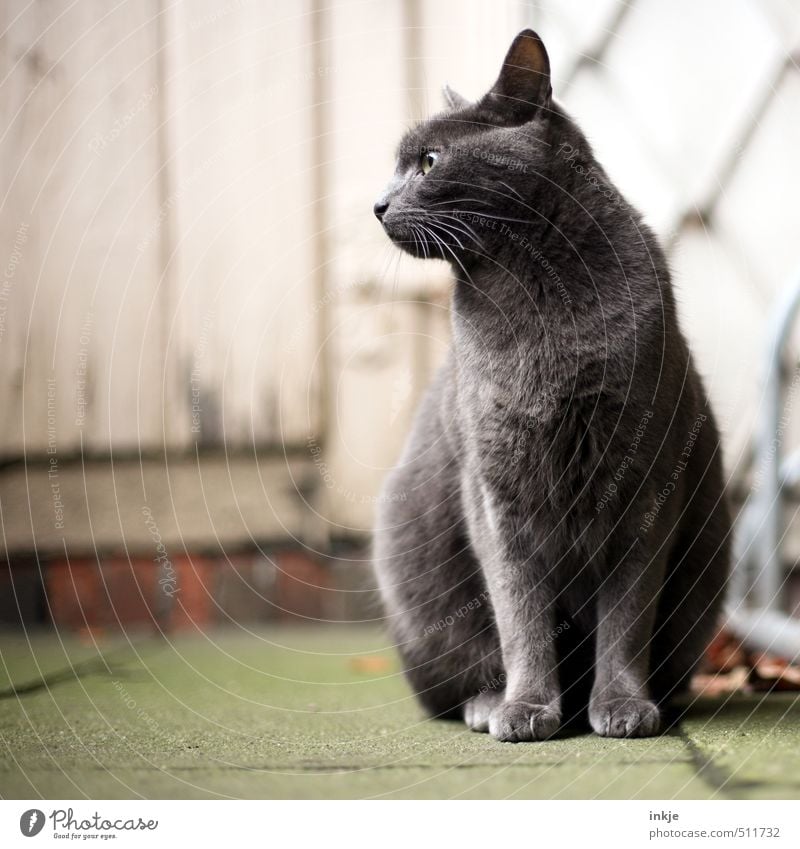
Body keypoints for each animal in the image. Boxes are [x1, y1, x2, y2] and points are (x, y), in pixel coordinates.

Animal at [372, 29, 728, 740]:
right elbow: (519, 610)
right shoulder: (495, 489)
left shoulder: (646, 480)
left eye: (428, 161)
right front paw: (528, 708)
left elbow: (626, 614)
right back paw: (488, 704)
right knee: (455, 680)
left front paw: (621, 706)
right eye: (398, 165)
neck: (533, 291)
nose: (377, 204)